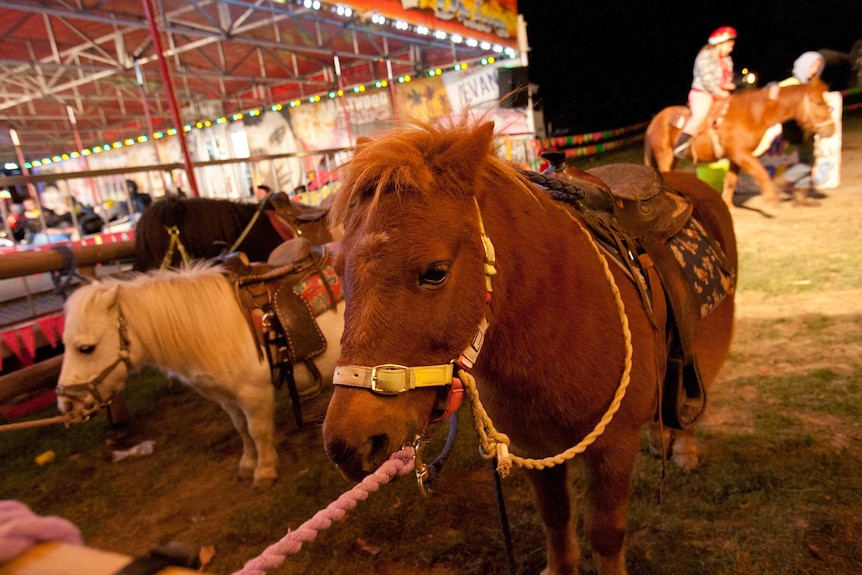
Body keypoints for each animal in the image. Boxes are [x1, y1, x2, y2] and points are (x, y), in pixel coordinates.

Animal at [54, 262, 348, 490]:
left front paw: (264, 472)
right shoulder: (229, 399)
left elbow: (259, 432)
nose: (67, 404)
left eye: (86, 348)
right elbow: (242, 430)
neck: (216, 326)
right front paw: (247, 465)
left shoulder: (255, 394)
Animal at [320, 121, 740, 575]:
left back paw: (683, 448)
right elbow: (555, 519)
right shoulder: (534, 449)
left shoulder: (612, 450)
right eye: (337, 269)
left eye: (435, 272)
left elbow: (606, 535)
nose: (349, 444)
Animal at [648, 77, 836, 210]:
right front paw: (772, 201)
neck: (751, 114)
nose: (831, 130)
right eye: (819, 103)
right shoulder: (741, 154)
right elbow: (761, 173)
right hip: (664, 156)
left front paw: (728, 205)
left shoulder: (735, 158)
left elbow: (731, 181)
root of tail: (654, 121)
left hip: (673, 159)